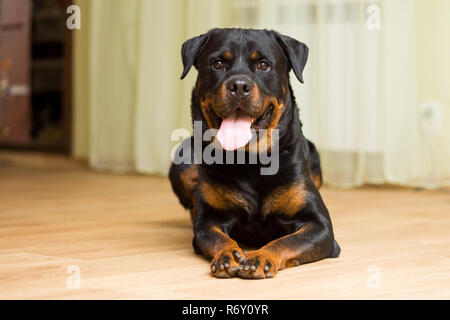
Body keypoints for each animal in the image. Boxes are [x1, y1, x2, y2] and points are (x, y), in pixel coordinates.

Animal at [171, 28, 340, 278]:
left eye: (263, 64)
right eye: (217, 63)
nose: (239, 85)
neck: (250, 161)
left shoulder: (320, 226)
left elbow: (286, 241)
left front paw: (261, 257)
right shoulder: (208, 221)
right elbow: (217, 237)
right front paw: (227, 255)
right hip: (181, 160)